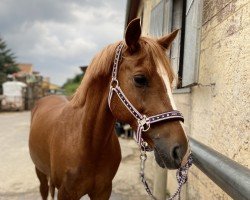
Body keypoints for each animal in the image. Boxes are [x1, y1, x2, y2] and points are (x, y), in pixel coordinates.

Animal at [28, 18, 189, 199]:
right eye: (140, 79)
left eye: (171, 79)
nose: (181, 150)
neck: (88, 145)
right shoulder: (66, 193)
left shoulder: (103, 190)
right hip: (40, 171)